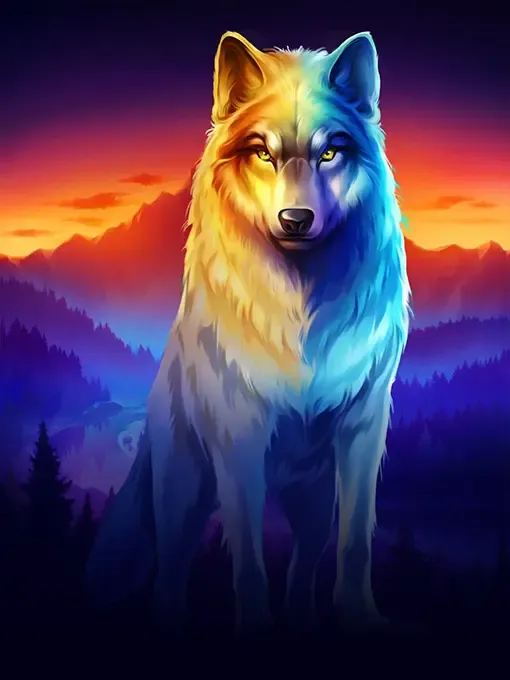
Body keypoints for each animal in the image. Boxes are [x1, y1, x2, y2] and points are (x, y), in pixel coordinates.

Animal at [86, 30, 410, 634]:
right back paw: (170, 622)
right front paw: (254, 625)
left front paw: (360, 617)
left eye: (329, 152)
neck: (301, 313)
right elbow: (250, 560)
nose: (296, 220)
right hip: (184, 492)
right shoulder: (240, 437)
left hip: (311, 503)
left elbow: (355, 541)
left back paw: (304, 619)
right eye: (263, 152)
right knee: (170, 571)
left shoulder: (362, 426)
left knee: (304, 568)